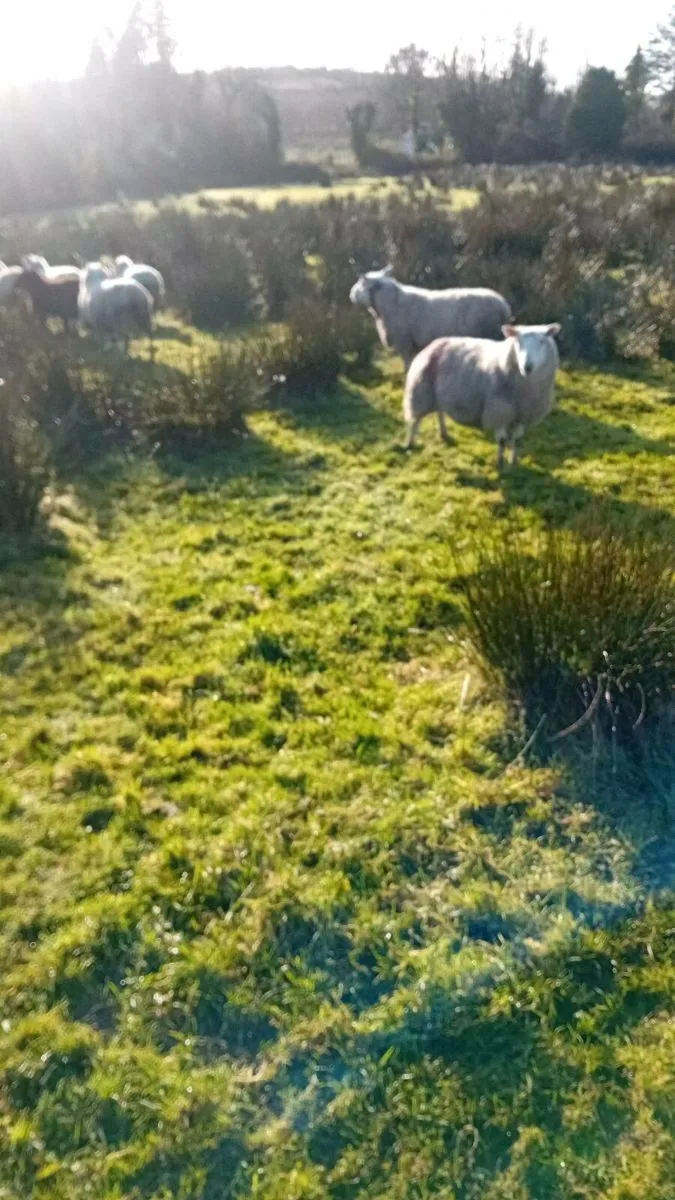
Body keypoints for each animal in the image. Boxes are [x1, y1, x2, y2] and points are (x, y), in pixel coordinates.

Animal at [349, 266, 513, 369]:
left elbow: (407, 365)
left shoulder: (404, 343)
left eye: (361, 282)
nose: (350, 294)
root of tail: (503, 307)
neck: (390, 304)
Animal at [403, 323, 561, 468]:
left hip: (437, 396)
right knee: (415, 421)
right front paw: (500, 463)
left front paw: (514, 461)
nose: (527, 367)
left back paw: (444, 433)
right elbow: (502, 440)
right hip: (421, 392)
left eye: (542, 341)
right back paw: (410, 444)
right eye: (518, 341)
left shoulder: (523, 414)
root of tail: (436, 342)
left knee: (439, 413)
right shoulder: (499, 412)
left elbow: (517, 440)